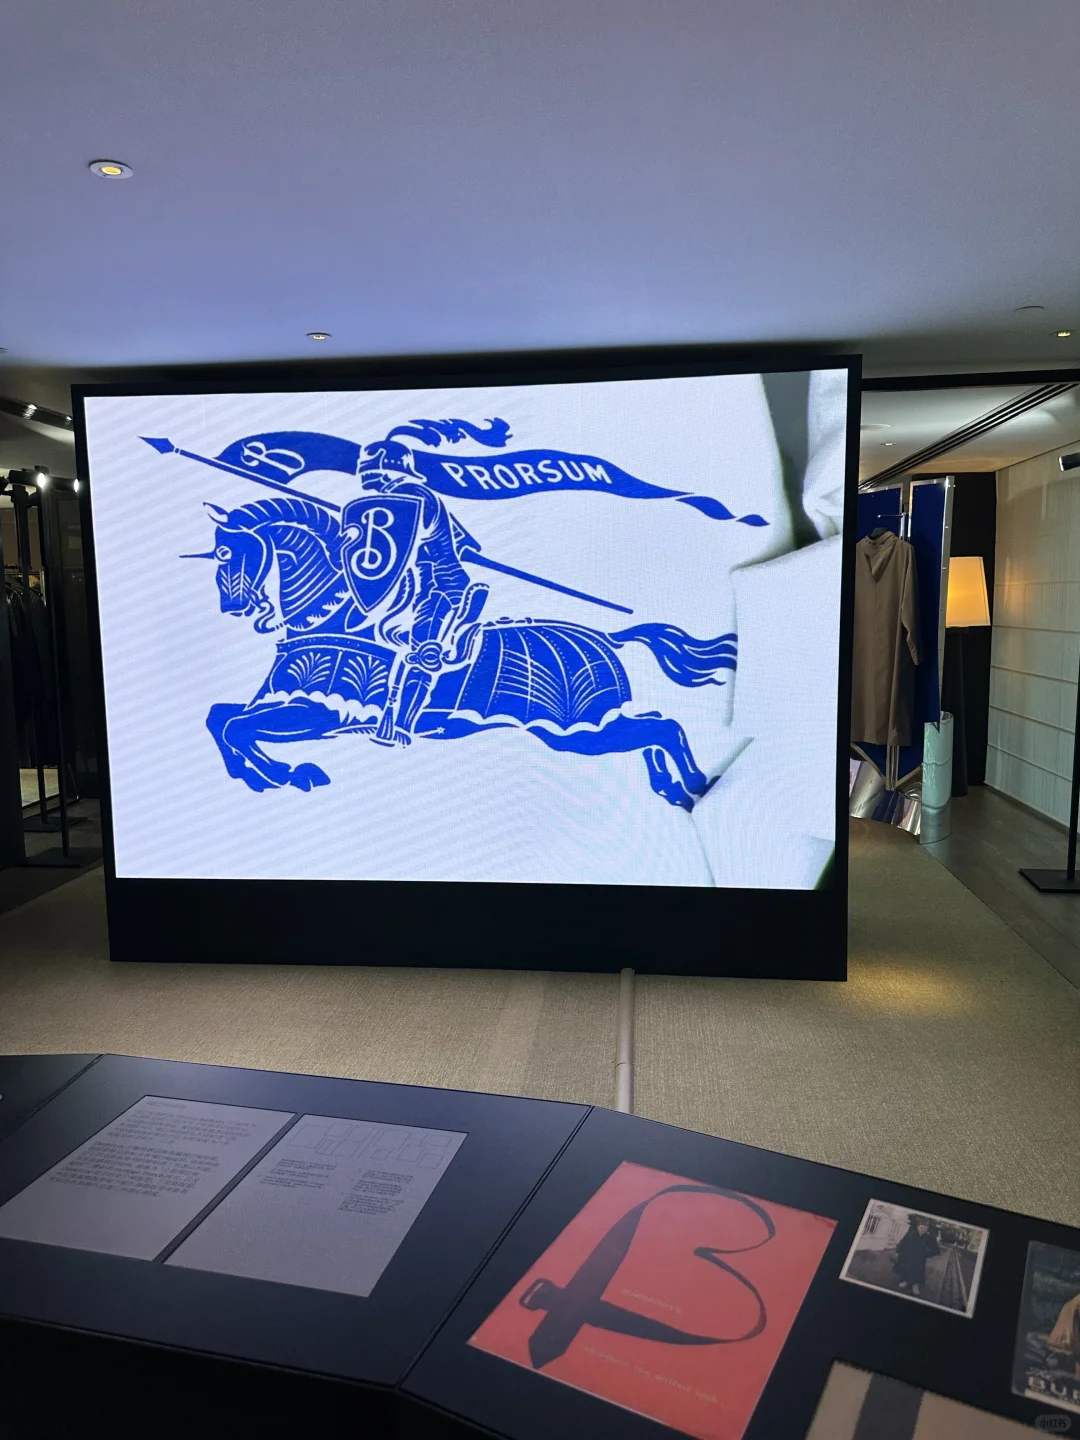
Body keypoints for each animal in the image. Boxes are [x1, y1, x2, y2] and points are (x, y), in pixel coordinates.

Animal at [193, 495, 737, 810]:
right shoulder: (285, 703)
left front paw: (289, 773)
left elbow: (236, 727)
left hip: (576, 731)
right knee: (654, 727)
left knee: (662, 727)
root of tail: (607, 637)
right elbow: (221, 718)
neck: (336, 616)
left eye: (226, 552)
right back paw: (673, 789)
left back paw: (694, 785)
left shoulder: (323, 711)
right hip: (588, 729)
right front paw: (261, 777)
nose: (233, 606)